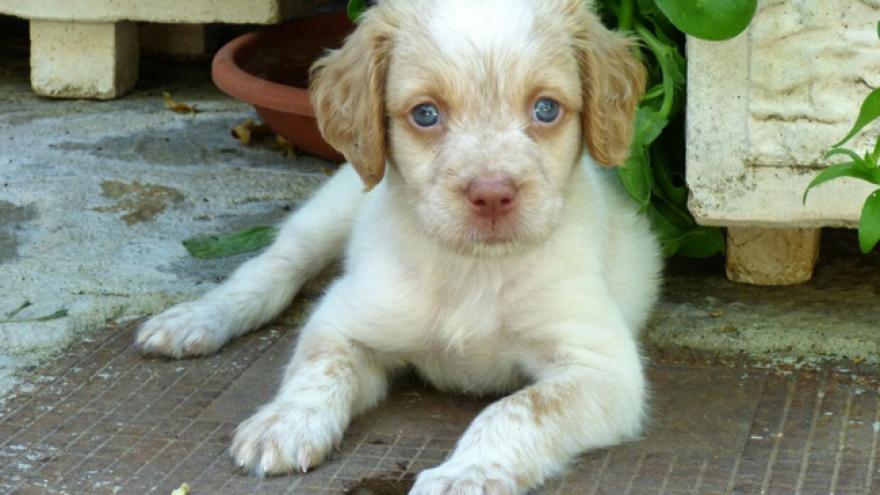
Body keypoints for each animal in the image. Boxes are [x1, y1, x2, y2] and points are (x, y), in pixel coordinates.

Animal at [138, 0, 660, 492]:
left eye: (546, 109)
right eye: (425, 114)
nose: (492, 194)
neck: (471, 268)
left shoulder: (601, 367)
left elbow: (516, 410)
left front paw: (468, 473)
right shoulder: (346, 318)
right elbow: (318, 368)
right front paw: (285, 423)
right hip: (330, 209)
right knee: (272, 269)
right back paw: (193, 320)